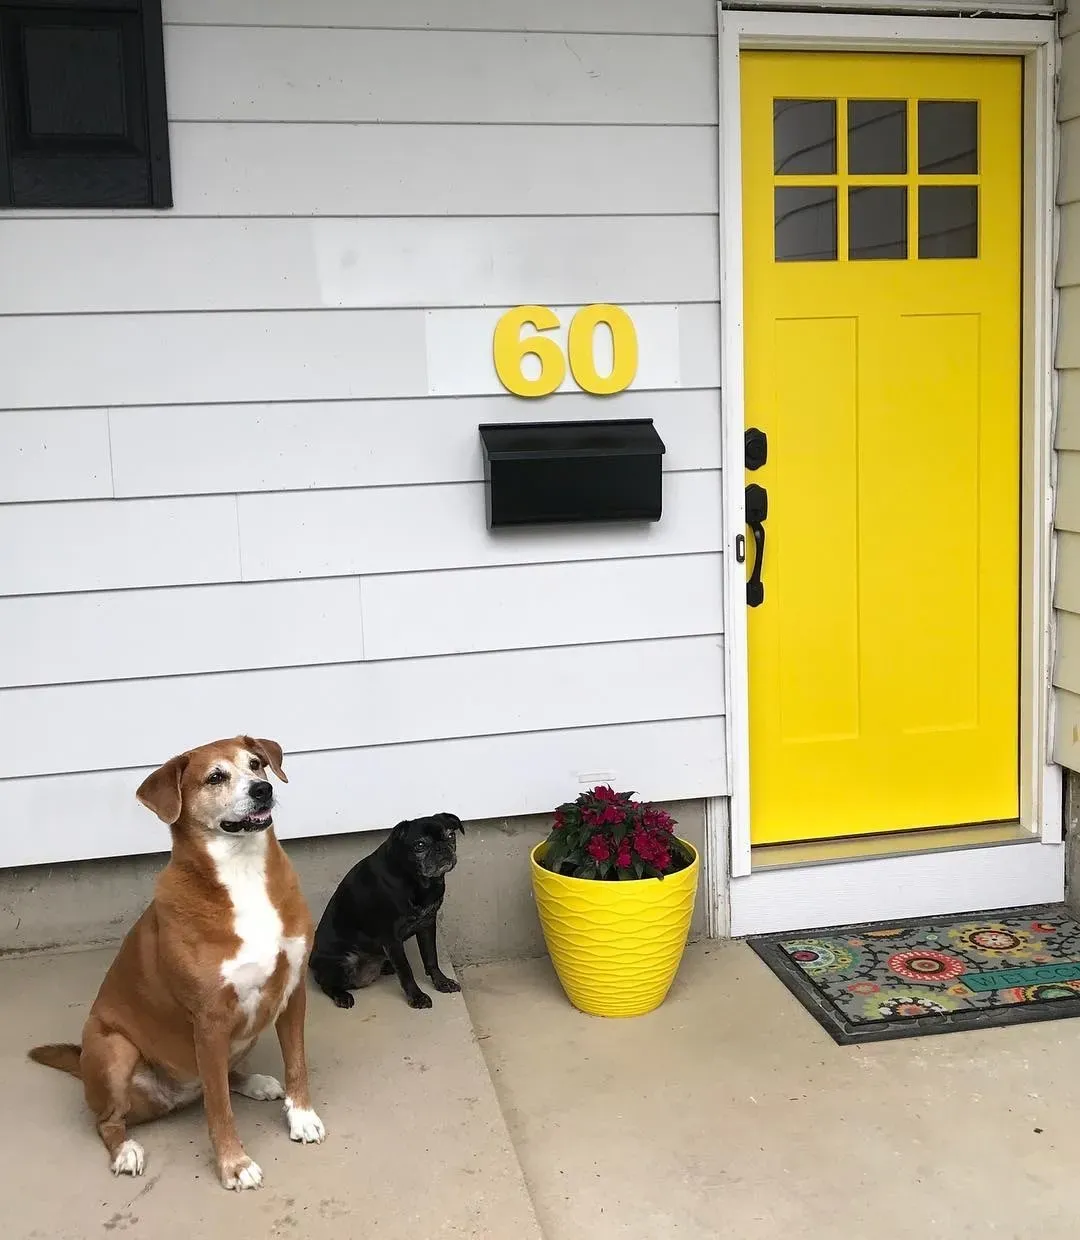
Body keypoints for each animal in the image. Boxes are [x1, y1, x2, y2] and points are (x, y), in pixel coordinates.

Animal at [28, 734, 324, 1190]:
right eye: (215, 777)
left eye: (256, 764)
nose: (263, 789)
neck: (242, 874)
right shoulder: (210, 1020)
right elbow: (219, 1109)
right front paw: (234, 1164)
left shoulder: (292, 993)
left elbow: (297, 1065)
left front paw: (302, 1118)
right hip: (114, 1050)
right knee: (109, 1121)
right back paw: (126, 1150)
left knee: (221, 1078)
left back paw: (253, 1082)